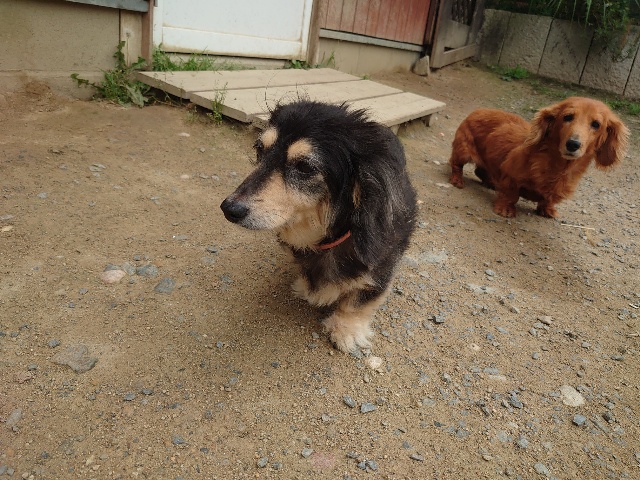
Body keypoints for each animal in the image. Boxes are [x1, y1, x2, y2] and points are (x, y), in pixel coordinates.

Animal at [220, 100, 417, 353]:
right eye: (260, 150)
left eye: (304, 166)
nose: (228, 209)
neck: (330, 236)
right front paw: (305, 287)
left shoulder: (382, 267)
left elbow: (358, 302)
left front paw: (347, 331)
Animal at [449, 97, 629, 218]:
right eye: (567, 117)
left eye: (596, 124)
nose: (573, 144)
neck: (557, 166)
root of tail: (478, 110)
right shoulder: (510, 175)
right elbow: (511, 194)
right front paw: (505, 208)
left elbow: (547, 200)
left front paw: (547, 209)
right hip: (463, 151)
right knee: (456, 165)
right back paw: (458, 180)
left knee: (480, 171)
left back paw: (491, 183)